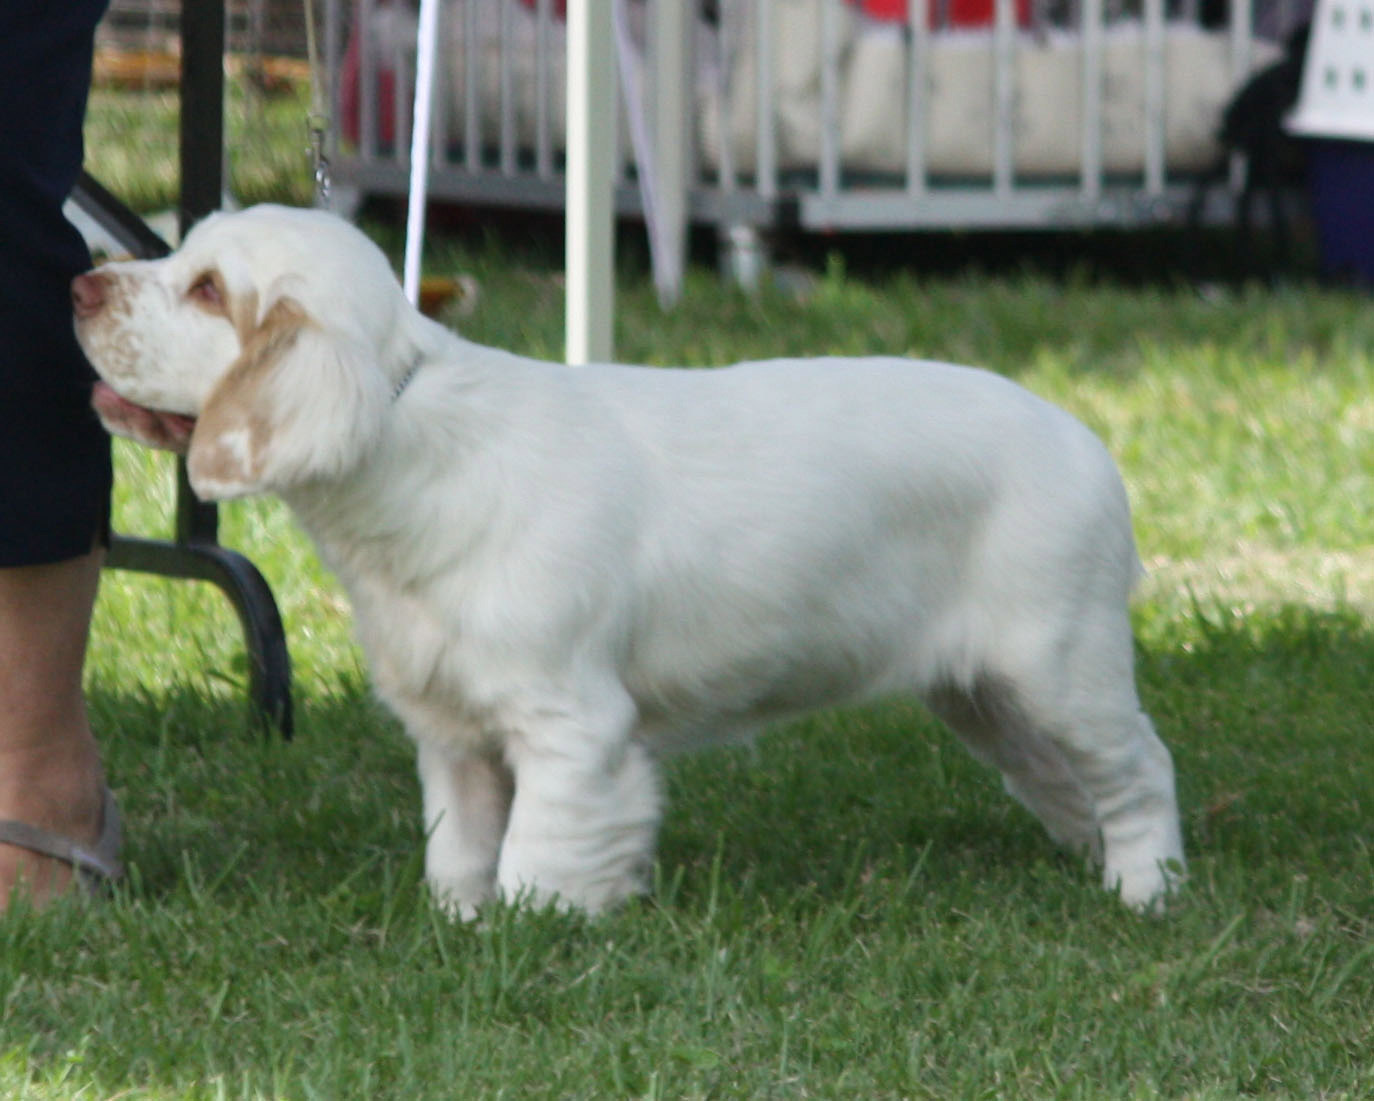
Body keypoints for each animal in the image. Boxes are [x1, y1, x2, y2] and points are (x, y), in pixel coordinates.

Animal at [74, 204, 1184, 916]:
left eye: (208, 290)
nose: (80, 283)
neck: (409, 436)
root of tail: (1087, 441)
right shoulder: (455, 732)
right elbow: (459, 853)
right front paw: (458, 930)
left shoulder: (571, 724)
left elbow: (539, 859)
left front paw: (531, 937)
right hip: (983, 697)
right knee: (1060, 782)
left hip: (1061, 668)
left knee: (1139, 770)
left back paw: (1146, 894)